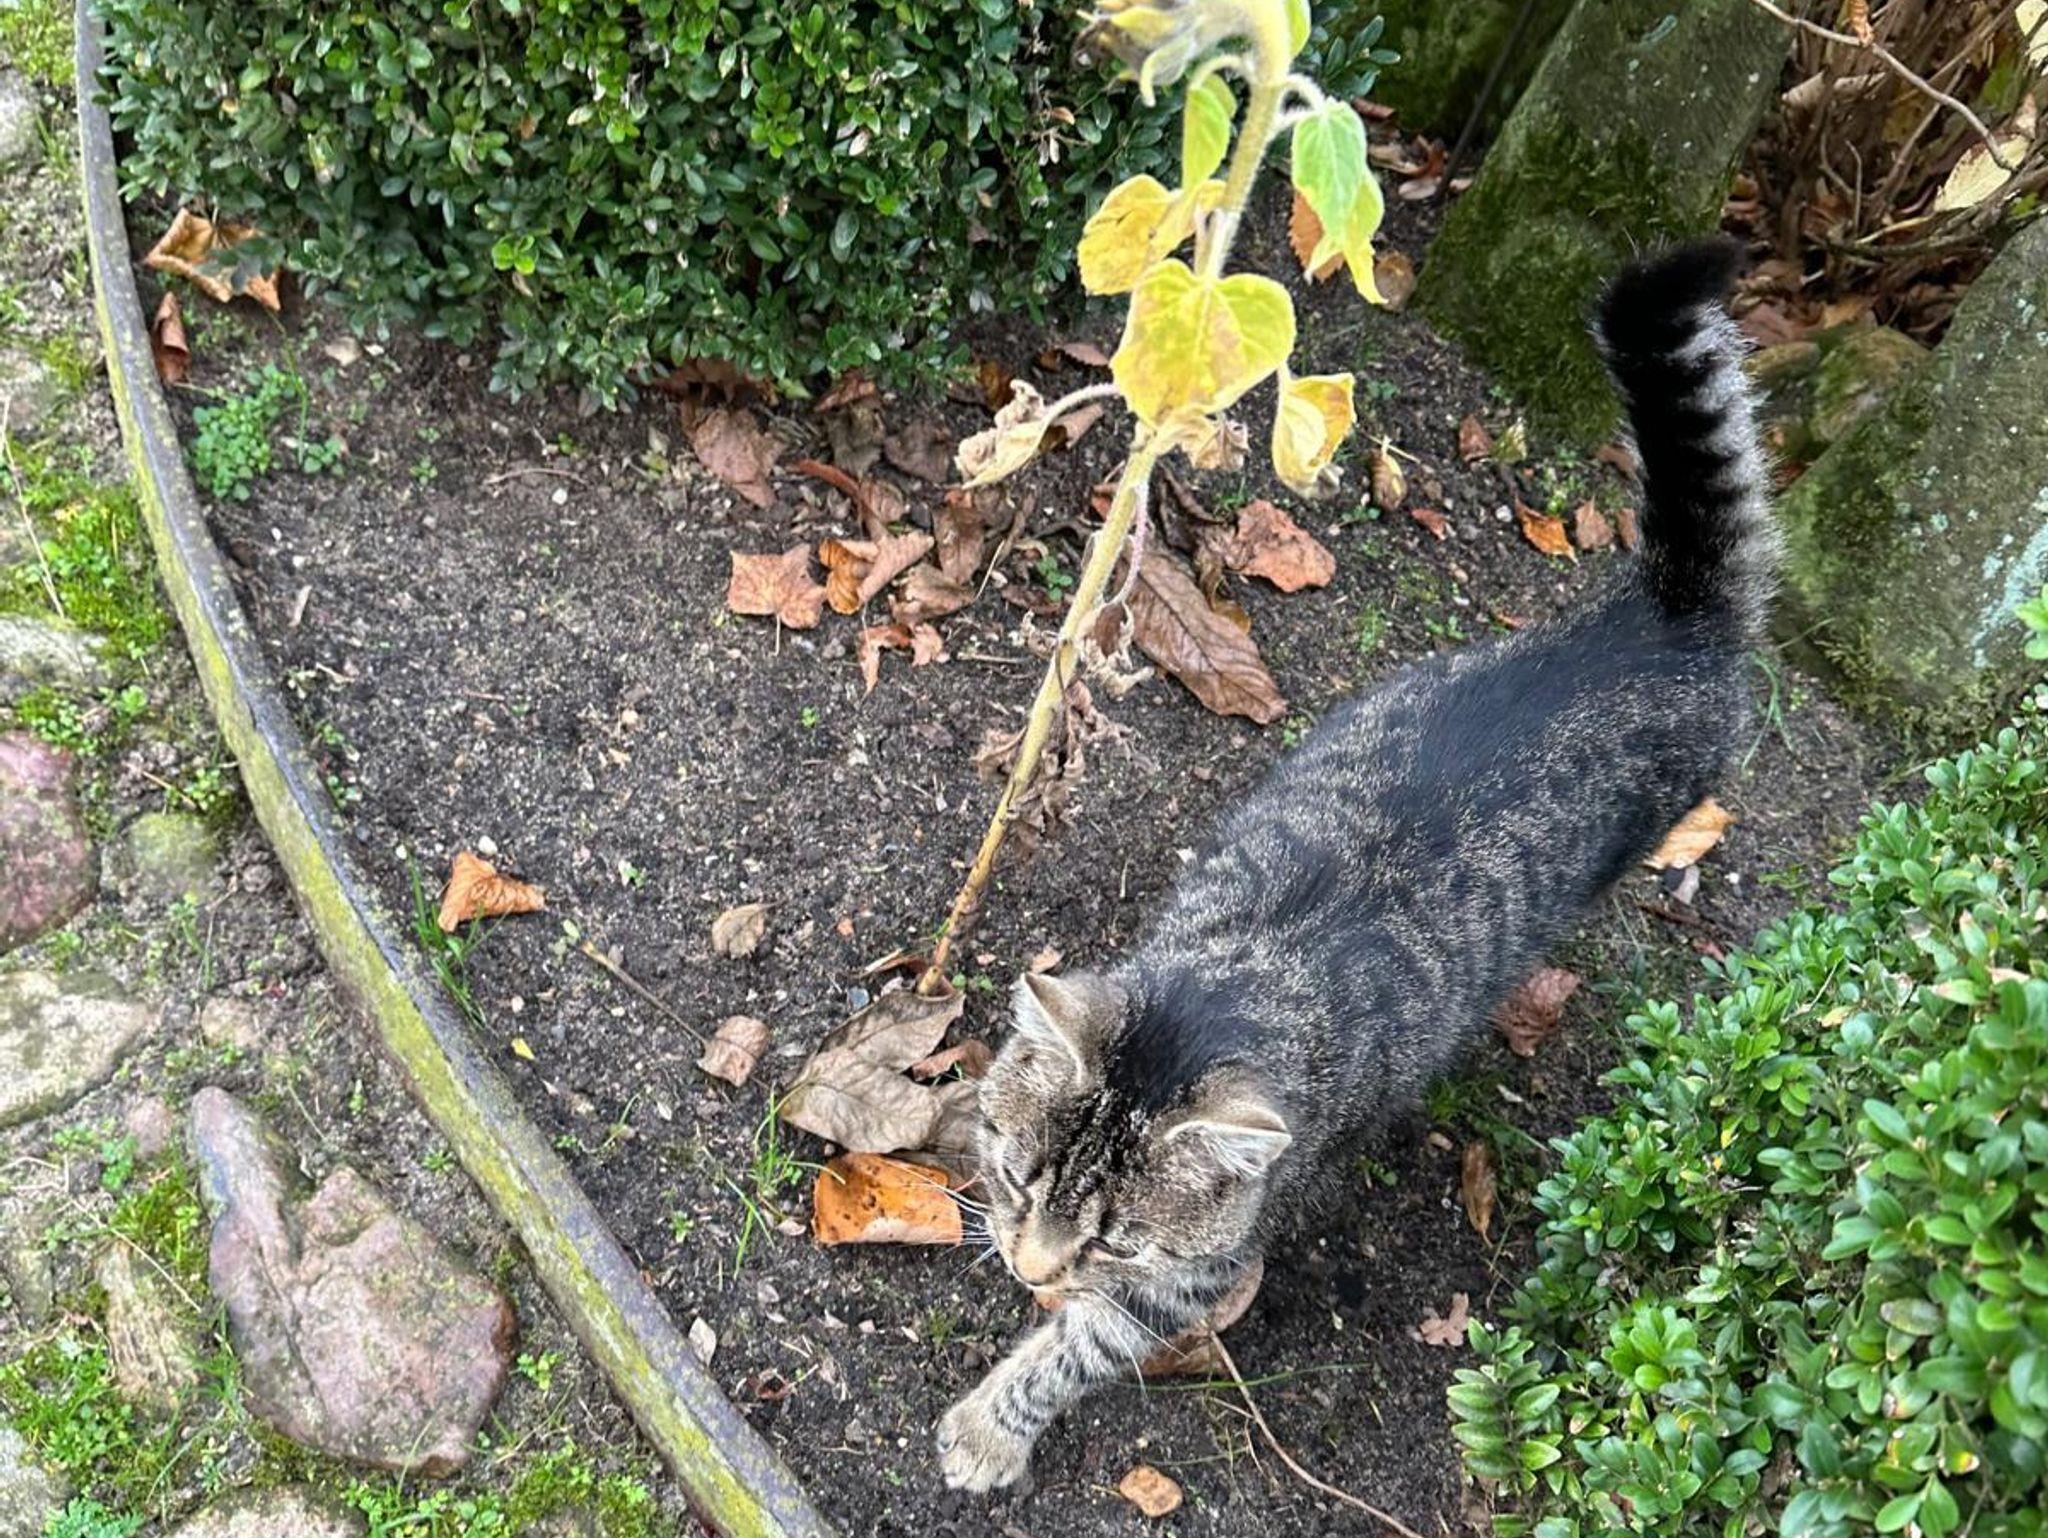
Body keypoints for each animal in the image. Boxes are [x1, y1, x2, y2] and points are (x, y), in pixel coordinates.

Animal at [936, 239, 1777, 1493]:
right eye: (1021, 1178)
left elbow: (1080, 1345)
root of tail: (1660, 625)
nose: (1031, 1266)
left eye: (1116, 1235)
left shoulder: (1187, 1275)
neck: (1215, 989)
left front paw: (995, 1421)